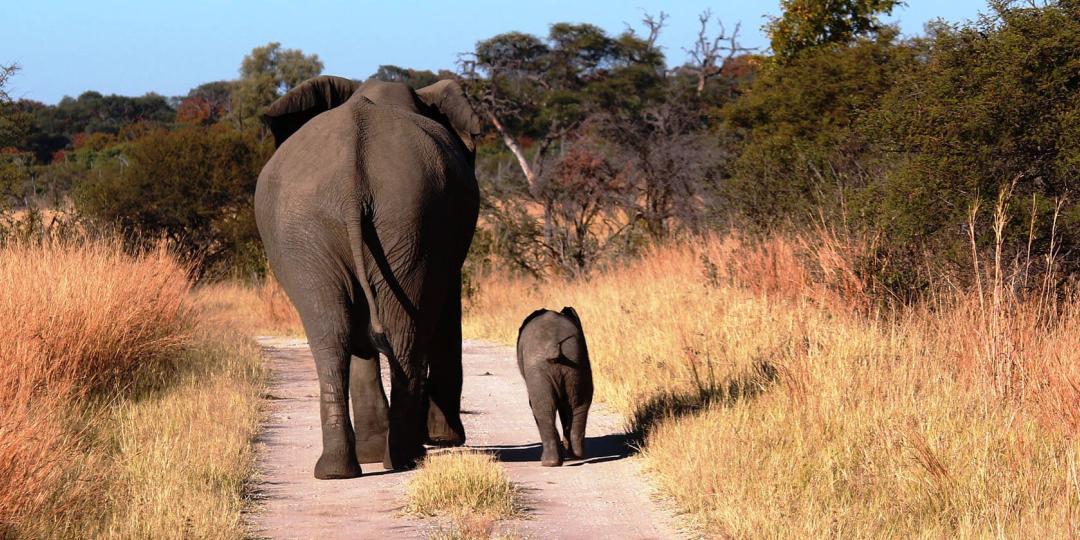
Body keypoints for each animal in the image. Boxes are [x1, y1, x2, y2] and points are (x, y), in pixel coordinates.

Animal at [254, 75, 479, 477]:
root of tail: (350, 185)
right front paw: (443, 440)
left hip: (368, 224)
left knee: (335, 334)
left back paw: (355, 466)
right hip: (381, 222)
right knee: (385, 334)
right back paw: (398, 458)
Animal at [518, 306, 596, 466]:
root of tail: (554, 347)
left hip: (540, 369)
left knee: (543, 408)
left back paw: (550, 462)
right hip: (577, 364)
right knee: (579, 404)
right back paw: (575, 455)